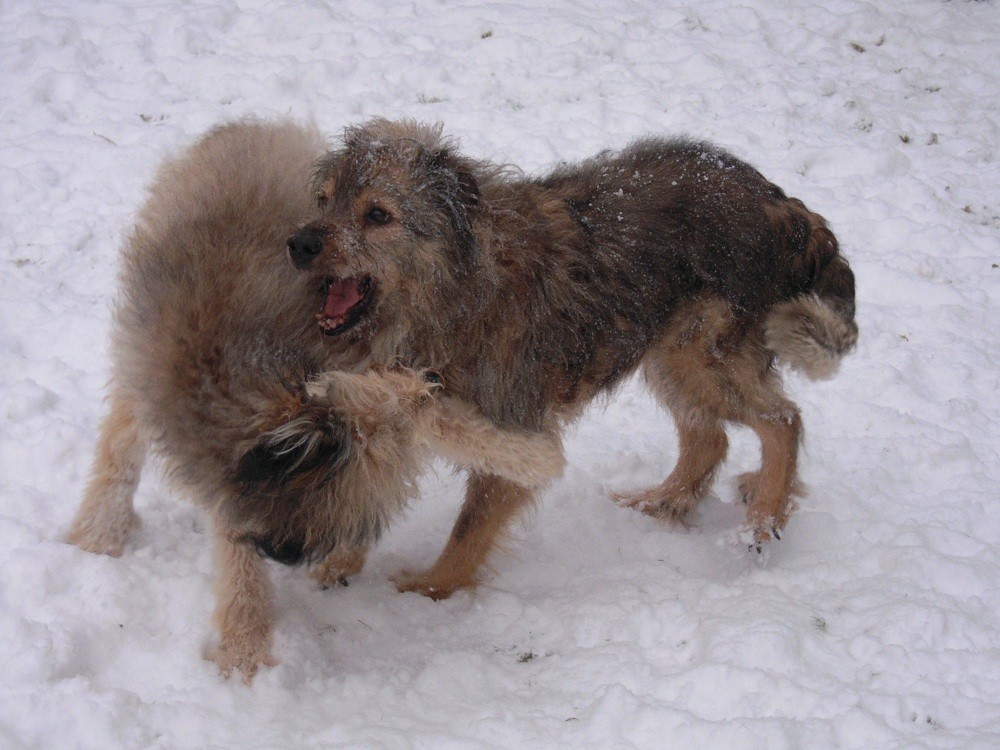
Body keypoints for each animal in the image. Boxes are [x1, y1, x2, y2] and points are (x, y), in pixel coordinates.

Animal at [64, 120, 564, 684]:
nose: (431, 380)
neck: (249, 381)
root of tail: (241, 126)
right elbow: (237, 557)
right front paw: (244, 651)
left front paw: (531, 457)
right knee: (122, 432)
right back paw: (100, 531)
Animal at [278, 119, 856, 600]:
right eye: (323, 200)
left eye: (378, 215)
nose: (298, 242)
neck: (455, 293)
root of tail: (787, 208)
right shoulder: (396, 403)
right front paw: (338, 564)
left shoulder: (511, 432)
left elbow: (469, 528)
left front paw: (429, 591)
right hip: (672, 358)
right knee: (709, 438)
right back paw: (663, 501)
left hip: (699, 355)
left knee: (782, 419)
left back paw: (762, 519)